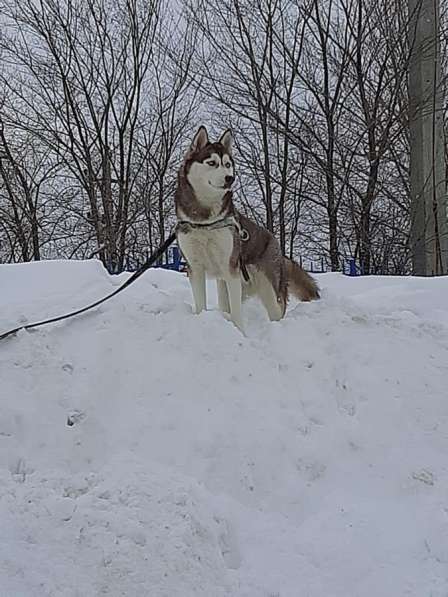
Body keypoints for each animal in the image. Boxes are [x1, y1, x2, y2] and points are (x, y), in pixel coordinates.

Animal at [174, 126, 318, 332]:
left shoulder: (231, 271)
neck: (205, 221)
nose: (230, 178)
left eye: (227, 164)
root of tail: (276, 244)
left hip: (268, 289)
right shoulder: (195, 268)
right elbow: (201, 304)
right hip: (225, 285)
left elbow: (236, 313)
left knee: (277, 311)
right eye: (212, 163)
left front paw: (239, 332)